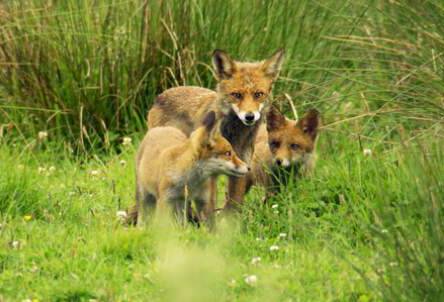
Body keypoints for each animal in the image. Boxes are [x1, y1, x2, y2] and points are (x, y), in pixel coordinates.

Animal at [146, 49, 284, 210]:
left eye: (258, 94)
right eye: (237, 95)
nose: (249, 116)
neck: (235, 136)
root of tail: (160, 95)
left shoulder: (242, 165)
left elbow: (234, 203)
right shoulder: (209, 170)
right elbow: (209, 203)